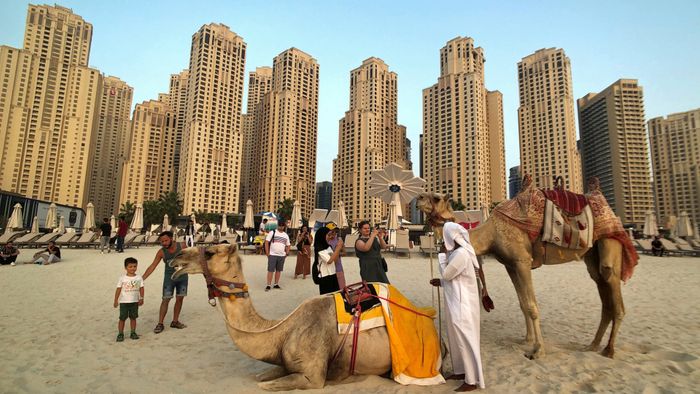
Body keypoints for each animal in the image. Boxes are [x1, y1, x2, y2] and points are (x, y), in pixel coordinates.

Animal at [171, 243, 394, 390]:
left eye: (209, 252)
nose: (177, 255)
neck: (281, 331)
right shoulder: (285, 365)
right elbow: (259, 377)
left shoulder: (312, 377)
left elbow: (263, 386)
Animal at [418, 179, 636, 360]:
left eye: (436, 197)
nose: (418, 197)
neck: (492, 233)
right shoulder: (510, 265)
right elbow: (523, 303)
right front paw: (527, 340)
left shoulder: (522, 261)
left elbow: (531, 306)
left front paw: (538, 350)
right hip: (592, 255)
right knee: (602, 292)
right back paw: (592, 346)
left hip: (611, 244)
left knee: (614, 291)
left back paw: (609, 349)